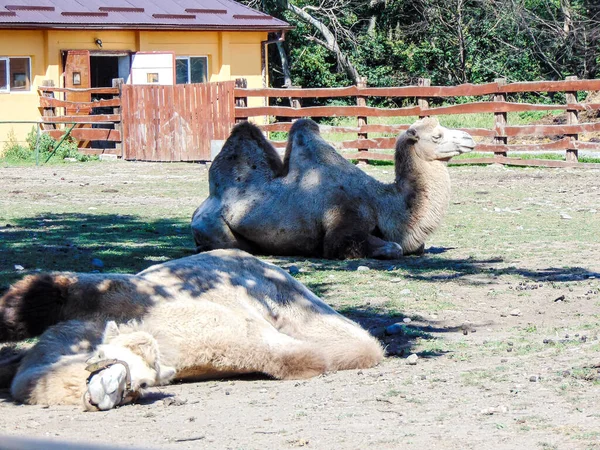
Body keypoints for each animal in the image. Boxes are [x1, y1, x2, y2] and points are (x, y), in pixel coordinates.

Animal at [192, 118, 474, 260]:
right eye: (436, 136)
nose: (469, 138)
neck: (382, 203)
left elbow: (417, 246)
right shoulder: (343, 224)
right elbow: (392, 247)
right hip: (212, 227)